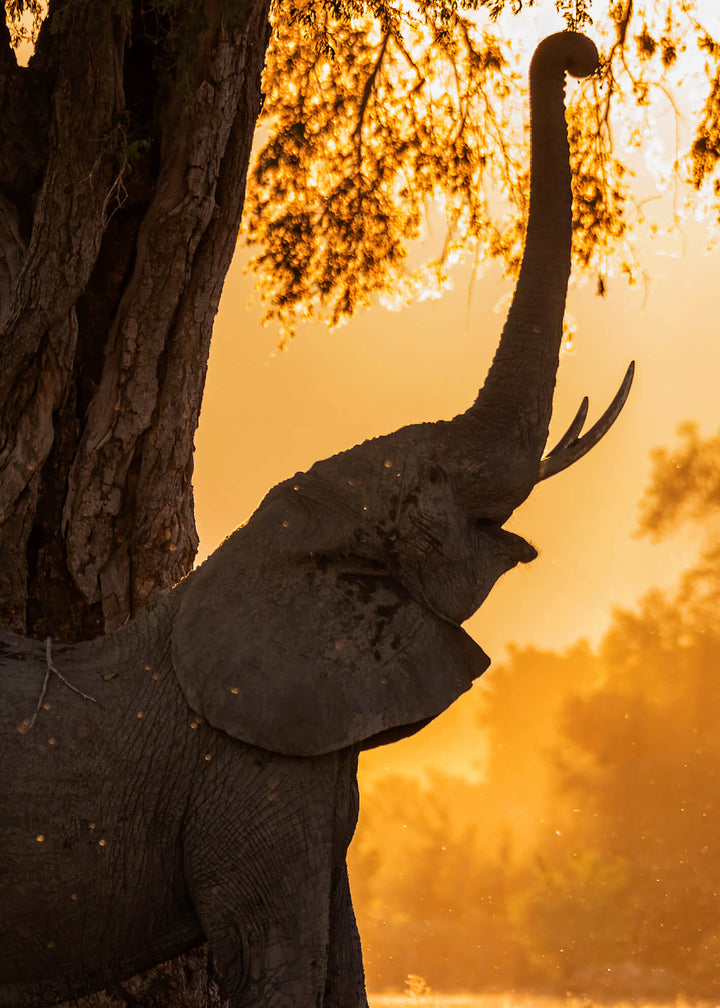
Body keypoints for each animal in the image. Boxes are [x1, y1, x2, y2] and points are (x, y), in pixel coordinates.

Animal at [0, 31, 632, 1008]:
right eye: (433, 490)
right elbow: (283, 960)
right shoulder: (245, 768)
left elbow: (345, 962)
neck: (275, 549)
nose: (582, 52)